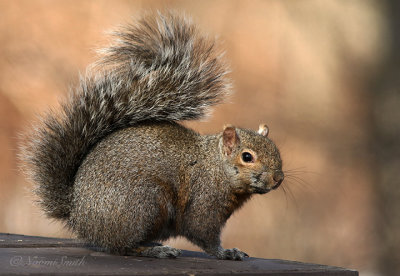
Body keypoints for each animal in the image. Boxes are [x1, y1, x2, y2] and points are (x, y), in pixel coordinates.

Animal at [21, 11, 284, 260]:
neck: (216, 168)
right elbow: (202, 234)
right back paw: (154, 250)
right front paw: (227, 252)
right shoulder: (204, 202)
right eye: (247, 157)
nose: (278, 178)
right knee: (122, 246)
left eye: (276, 151)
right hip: (144, 204)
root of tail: (78, 213)